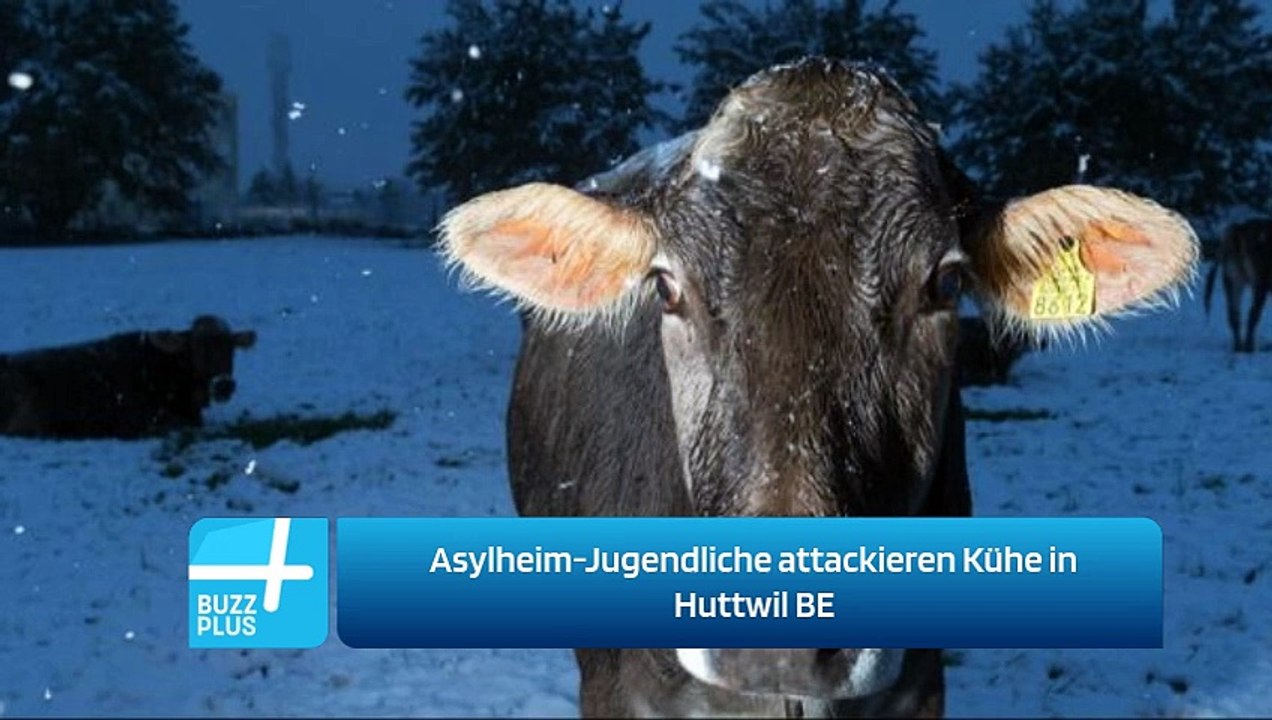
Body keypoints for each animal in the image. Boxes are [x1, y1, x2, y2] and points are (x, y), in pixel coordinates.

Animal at [1203, 217, 1272, 352]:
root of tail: (1236, 231)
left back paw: (1238, 347)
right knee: (1252, 314)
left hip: (1232, 278)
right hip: (1259, 281)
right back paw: (1249, 347)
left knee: (1234, 314)